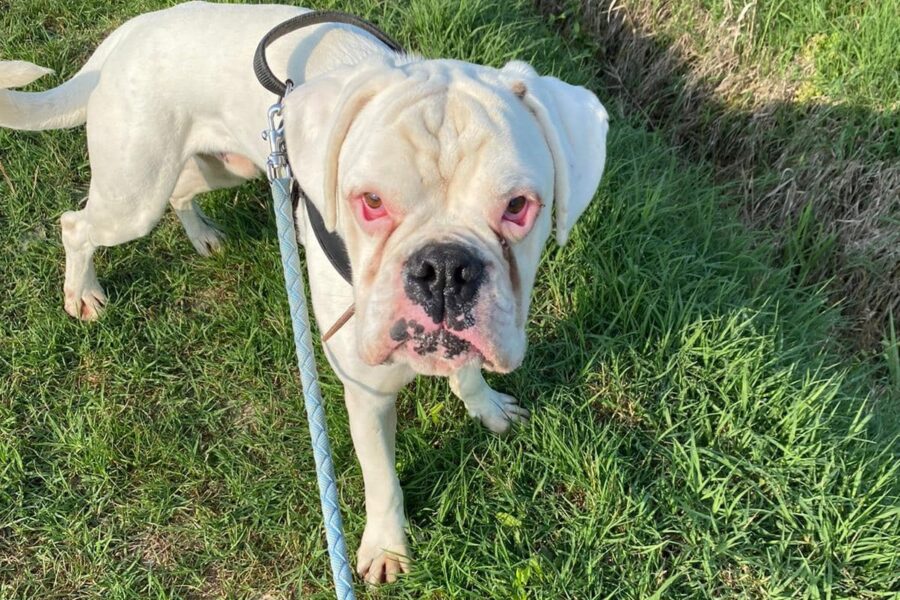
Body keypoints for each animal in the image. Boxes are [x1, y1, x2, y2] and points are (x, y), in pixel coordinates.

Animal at [0, 1, 608, 584]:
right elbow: (383, 480)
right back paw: (82, 292)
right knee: (76, 225)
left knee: (182, 191)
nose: (444, 268)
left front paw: (485, 406)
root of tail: (132, 30)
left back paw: (201, 235)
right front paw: (386, 548)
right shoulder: (368, 394)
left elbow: (467, 371)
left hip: (225, 167)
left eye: (518, 207)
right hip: (133, 195)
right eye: (370, 202)